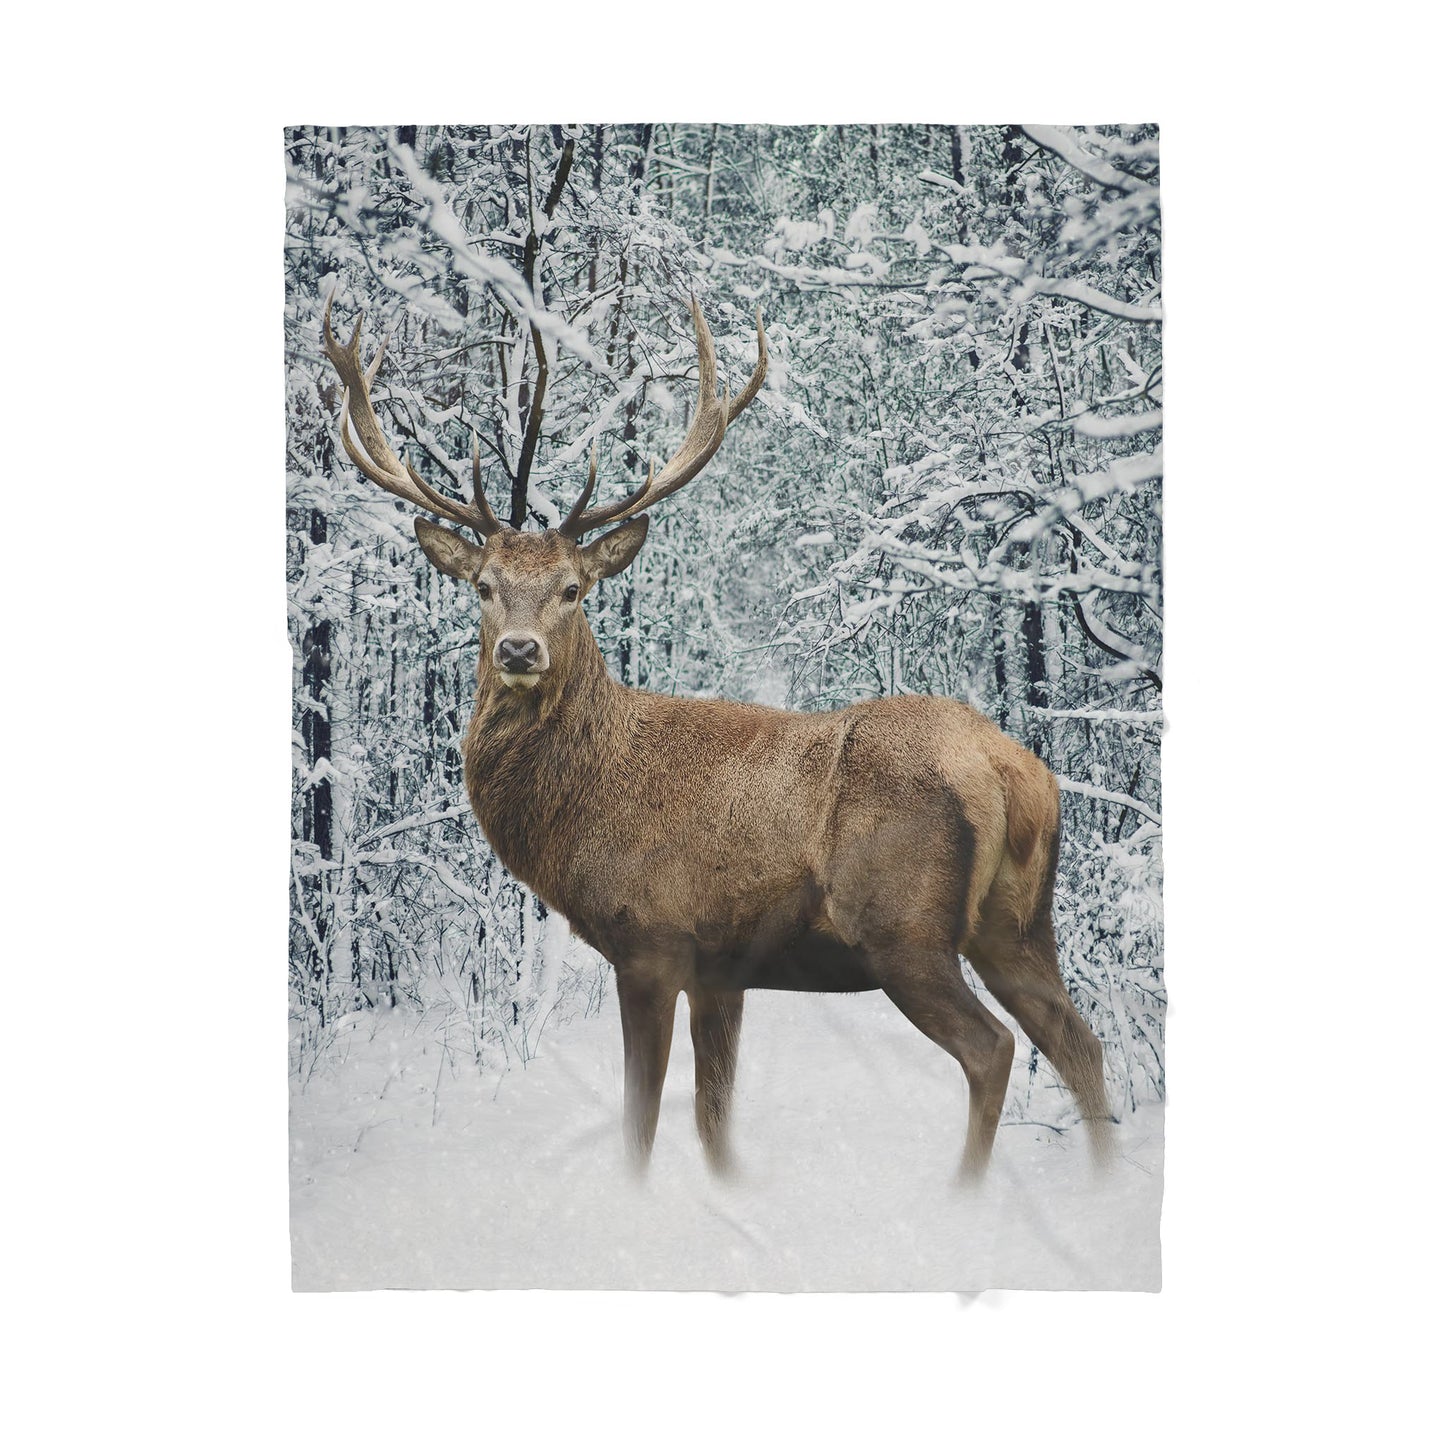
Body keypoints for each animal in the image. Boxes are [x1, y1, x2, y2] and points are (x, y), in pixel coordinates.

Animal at [321, 290, 1112, 1180]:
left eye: (571, 588)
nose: (518, 651)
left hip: (901, 924)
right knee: (1079, 1043)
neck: (583, 807)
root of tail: (1013, 771)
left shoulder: (650, 938)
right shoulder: (721, 970)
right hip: (1017, 923)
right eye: (483, 586)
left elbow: (641, 1120)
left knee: (993, 1048)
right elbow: (713, 1124)